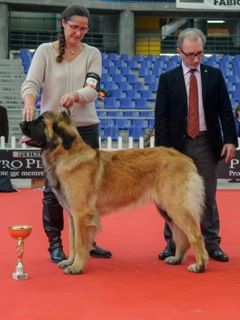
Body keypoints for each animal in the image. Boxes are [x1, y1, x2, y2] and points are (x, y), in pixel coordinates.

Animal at [20, 111, 208, 274]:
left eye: (41, 122)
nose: (22, 123)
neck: (65, 153)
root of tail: (186, 159)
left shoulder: (81, 214)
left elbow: (80, 243)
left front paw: (76, 267)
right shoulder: (72, 215)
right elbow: (73, 241)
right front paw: (70, 262)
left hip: (176, 206)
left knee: (195, 235)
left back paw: (199, 265)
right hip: (166, 209)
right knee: (181, 235)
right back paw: (177, 258)